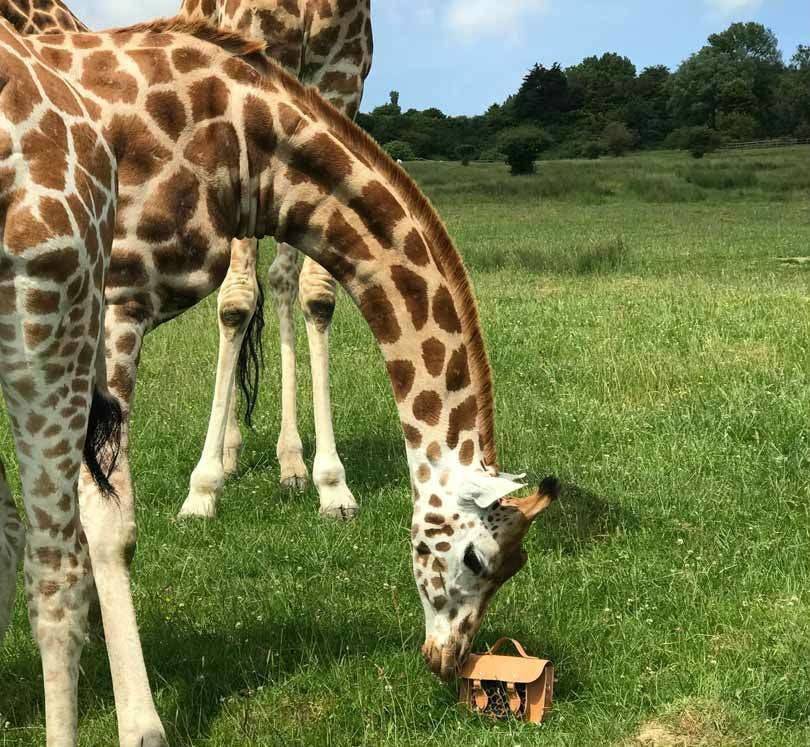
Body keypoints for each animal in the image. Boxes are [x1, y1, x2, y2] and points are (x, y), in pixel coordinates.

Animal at [177, 0, 372, 520]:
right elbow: (236, 301)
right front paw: (201, 491)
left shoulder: (340, 81)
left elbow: (317, 294)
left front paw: (333, 485)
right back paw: (227, 456)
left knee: (282, 279)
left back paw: (291, 463)